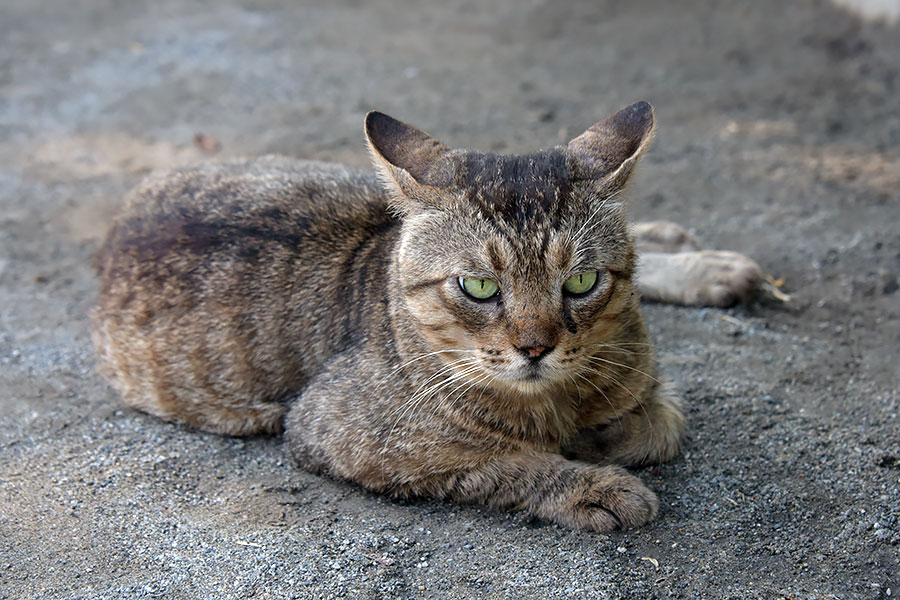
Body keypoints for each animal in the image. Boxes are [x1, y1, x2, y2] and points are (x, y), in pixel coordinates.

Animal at [91, 101, 760, 532]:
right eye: (479, 286)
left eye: (581, 281)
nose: (535, 347)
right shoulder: (339, 434)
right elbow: (506, 461)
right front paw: (592, 480)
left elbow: (663, 420)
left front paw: (602, 434)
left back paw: (695, 255)